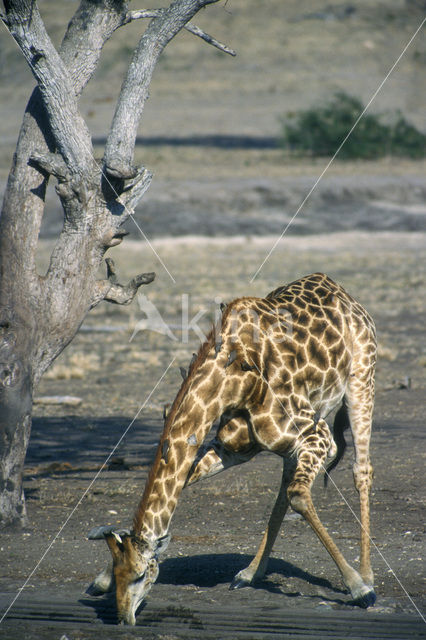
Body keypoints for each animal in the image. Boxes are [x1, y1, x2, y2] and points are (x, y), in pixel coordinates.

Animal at [87, 272, 376, 624]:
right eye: (120, 574)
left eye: (142, 575)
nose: (123, 617)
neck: (233, 380)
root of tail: (342, 292)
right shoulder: (233, 447)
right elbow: (188, 479)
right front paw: (99, 580)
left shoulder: (319, 436)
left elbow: (299, 496)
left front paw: (358, 588)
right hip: (290, 443)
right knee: (286, 485)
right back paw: (249, 573)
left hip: (361, 381)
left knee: (360, 470)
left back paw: (368, 575)